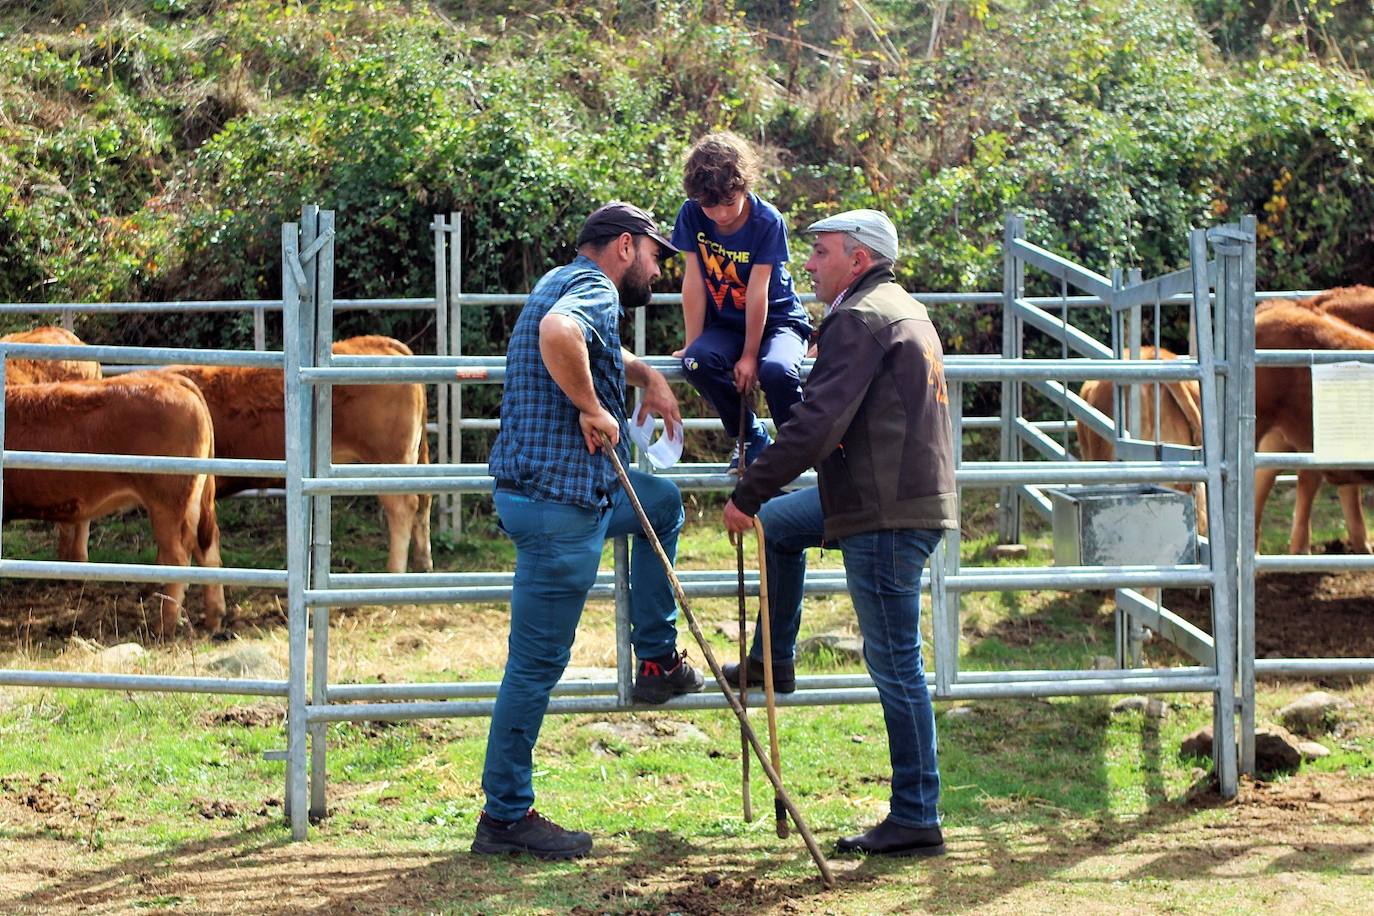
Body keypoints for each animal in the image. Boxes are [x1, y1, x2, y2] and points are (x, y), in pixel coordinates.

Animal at [3, 373, 222, 637]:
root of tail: (169, 378)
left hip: (167, 504)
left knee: (178, 558)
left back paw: (163, 626)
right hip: (191, 505)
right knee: (207, 552)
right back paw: (213, 621)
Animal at [162, 333, 428, 568]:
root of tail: (382, 343)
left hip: (388, 462)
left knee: (403, 507)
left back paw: (395, 571)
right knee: (423, 503)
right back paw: (422, 564)